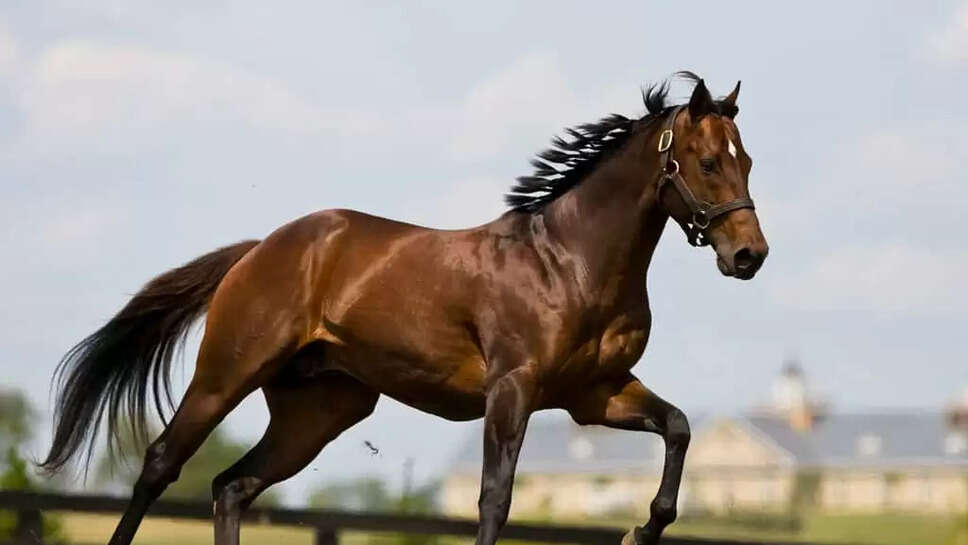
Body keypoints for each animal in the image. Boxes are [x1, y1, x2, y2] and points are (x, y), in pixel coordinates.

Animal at [42, 72, 768, 545]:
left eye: (749, 161)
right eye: (707, 161)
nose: (749, 255)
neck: (568, 262)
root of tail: (259, 251)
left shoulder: (596, 393)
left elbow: (678, 429)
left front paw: (640, 529)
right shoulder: (515, 389)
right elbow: (494, 500)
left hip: (321, 409)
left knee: (231, 486)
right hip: (226, 374)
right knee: (163, 463)